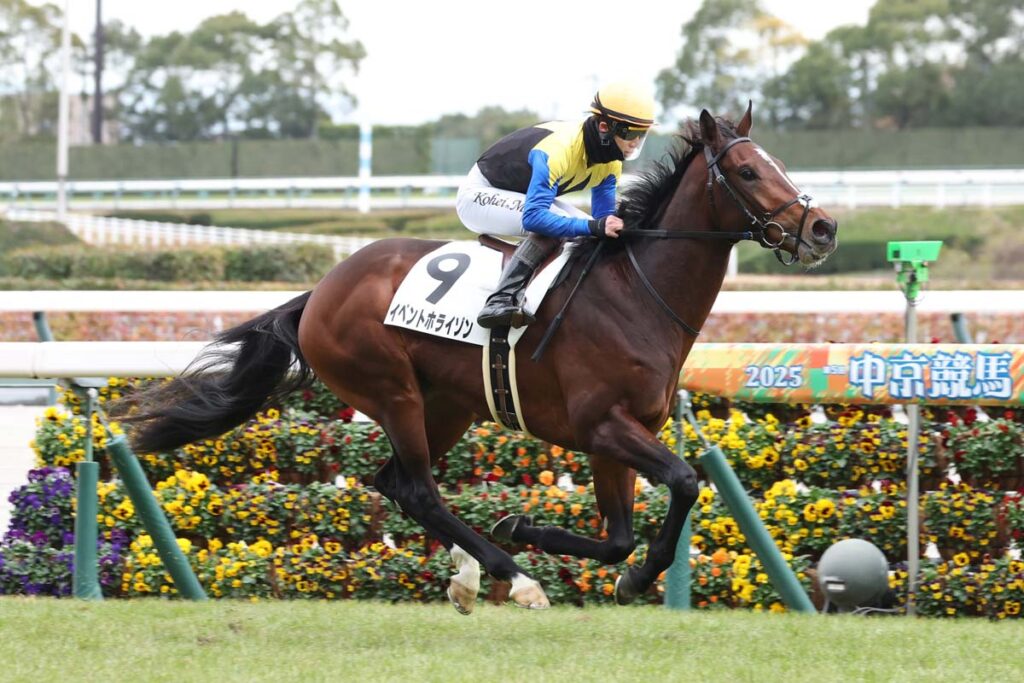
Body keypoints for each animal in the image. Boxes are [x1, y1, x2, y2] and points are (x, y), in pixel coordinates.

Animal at [128, 104, 838, 613]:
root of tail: (321, 291)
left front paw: (566, 547)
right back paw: (512, 577)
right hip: (392, 389)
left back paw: (472, 575)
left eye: (778, 164)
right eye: (747, 172)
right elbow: (686, 483)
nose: (824, 228)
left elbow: (618, 539)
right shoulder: (602, 425)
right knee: (417, 488)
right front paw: (535, 538)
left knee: (396, 484)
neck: (636, 294)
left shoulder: (616, 437)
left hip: (448, 405)